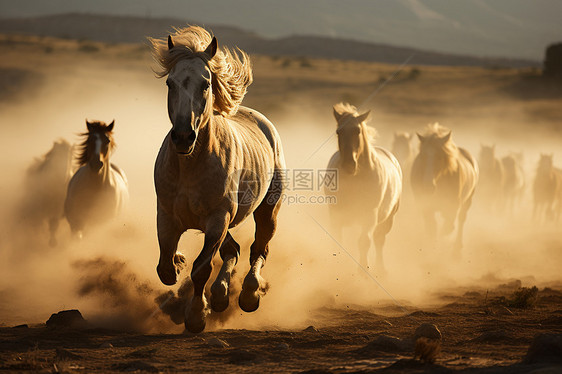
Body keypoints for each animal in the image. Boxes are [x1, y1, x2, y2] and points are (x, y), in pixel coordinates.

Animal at [149, 26, 284, 332]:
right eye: (170, 84)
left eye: (205, 83)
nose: (183, 137)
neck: (190, 166)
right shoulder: (166, 216)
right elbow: (165, 267)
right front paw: (178, 263)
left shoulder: (217, 219)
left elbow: (201, 269)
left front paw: (196, 316)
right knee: (233, 250)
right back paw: (221, 296)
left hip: (267, 210)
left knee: (258, 250)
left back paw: (248, 295)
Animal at [326, 102, 400, 274]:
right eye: (338, 132)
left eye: (357, 130)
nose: (349, 165)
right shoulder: (336, 214)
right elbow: (338, 241)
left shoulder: (369, 215)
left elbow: (364, 241)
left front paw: (363, 272)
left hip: (387, 219)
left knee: (379, 240)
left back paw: (380, 269)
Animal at [406, 122, 476, 251]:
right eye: (422, 156)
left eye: (440, 156)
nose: (428, 186)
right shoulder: (425, 206)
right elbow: (431, 228)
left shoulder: (452, 205)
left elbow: (448, 226)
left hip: (467, 201)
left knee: (461, 220)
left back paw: (457, 248)